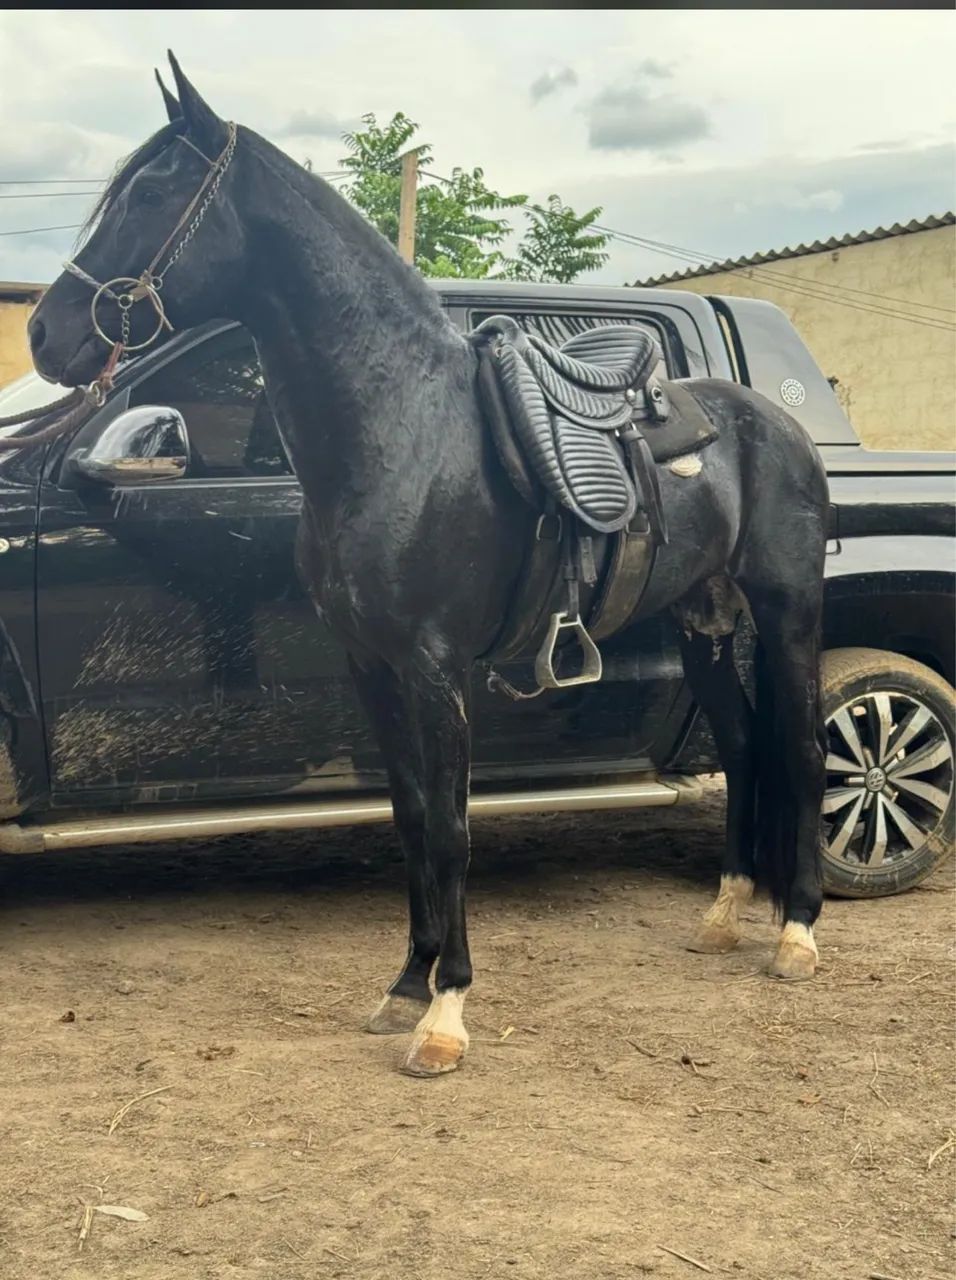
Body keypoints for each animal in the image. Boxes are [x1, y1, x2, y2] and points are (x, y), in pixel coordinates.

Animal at [28, 54, 829, 1078]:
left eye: (153, 192)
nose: (44, 335)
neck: (398, 431)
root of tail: (782, 426)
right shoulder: (372, 666)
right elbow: (411, 816)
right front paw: (406, 983)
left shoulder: (436, 665)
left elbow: (451, 826)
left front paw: (446, 1015)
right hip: (706, 625)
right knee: (742, 746)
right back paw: (726, 916)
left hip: (790, 613)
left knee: (804, 752)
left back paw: (797, 932)